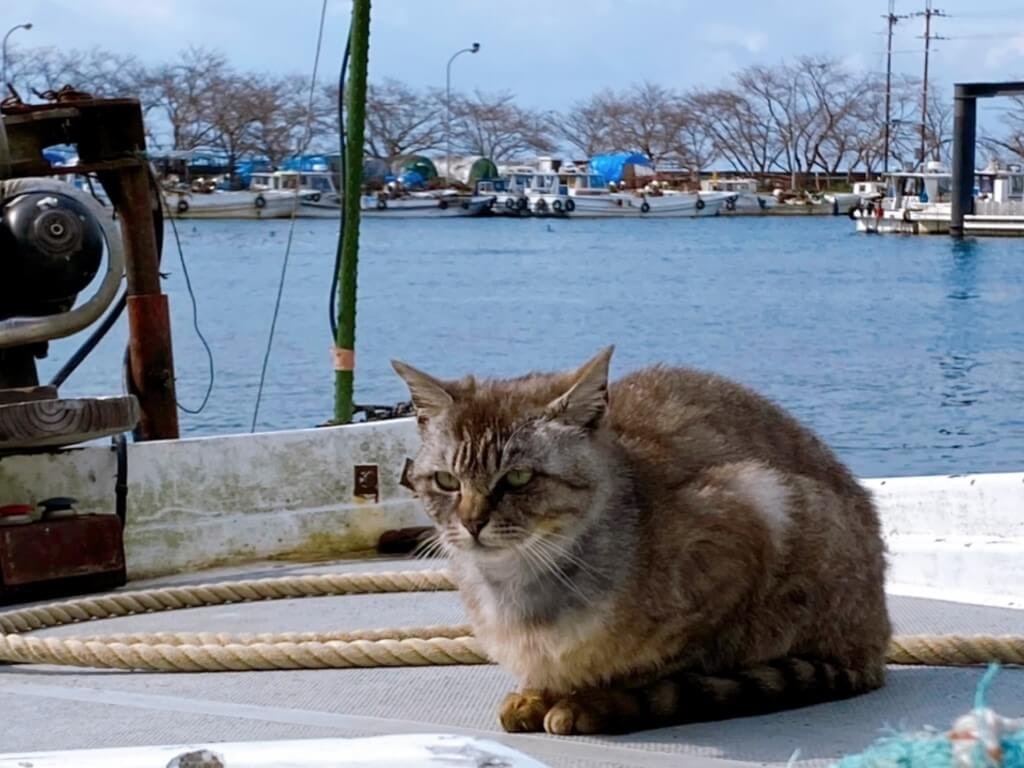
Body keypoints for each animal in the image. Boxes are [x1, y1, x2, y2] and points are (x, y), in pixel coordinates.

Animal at [391, 348, 888, 733]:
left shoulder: (744, 522)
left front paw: (595, 698)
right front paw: (537, 692)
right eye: (446, 481)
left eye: (516, 478)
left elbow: (666, 664)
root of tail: (875, 639)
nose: (472, 522)